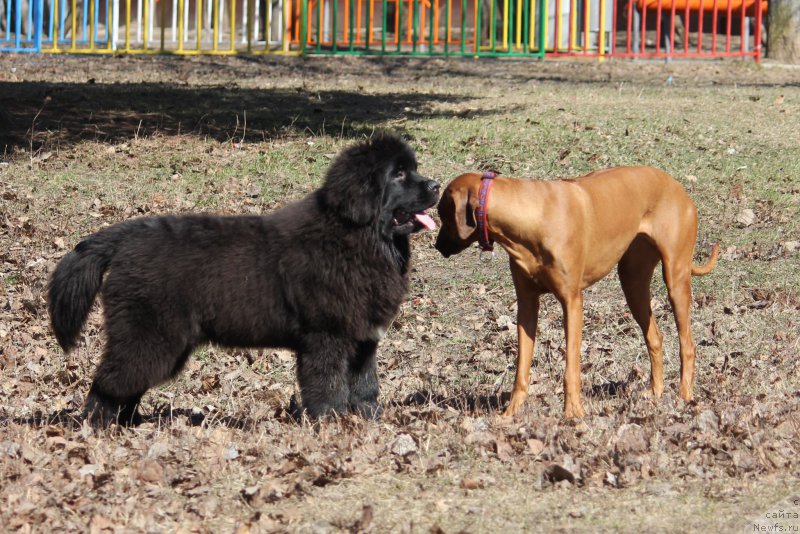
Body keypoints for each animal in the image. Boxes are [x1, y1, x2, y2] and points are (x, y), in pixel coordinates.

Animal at [48, 136, 438, 430]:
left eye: (413, 168)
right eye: (398, 174)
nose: (435, 185)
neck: (356, 236)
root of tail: (124, 237)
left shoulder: (363, 340)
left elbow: (366, 388)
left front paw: (370, 423)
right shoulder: (325, 337)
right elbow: (328, 388)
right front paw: (330, 425)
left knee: (127, 387)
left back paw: (129, 425)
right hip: (148, 336)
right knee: (109, 383)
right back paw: (98, 427)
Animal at [434, 170, 720, 420]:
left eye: (441, 213)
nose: (437, 246)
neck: (533, 216)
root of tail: (676, 185)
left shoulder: (572, 302)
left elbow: (571, 367)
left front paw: (573, 414)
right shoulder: (527, 305)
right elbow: (521, 369)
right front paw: (510, 414)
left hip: (676, 278)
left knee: (687, 344)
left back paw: (684, 396)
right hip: (632, 282)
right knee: (655, 337)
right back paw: (655, 393)